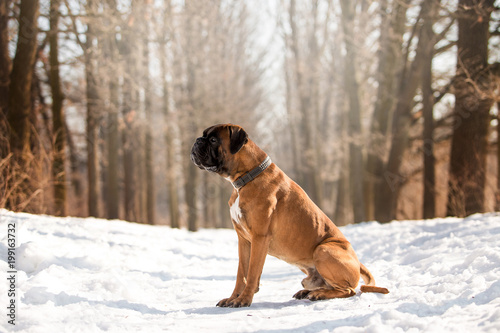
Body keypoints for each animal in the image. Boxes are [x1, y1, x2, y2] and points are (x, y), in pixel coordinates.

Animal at [189, 124, 388, 306]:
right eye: (204, 136)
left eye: (213, 140)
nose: (197, 140)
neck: (247, 177)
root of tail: (358, 261)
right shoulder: (243, 240)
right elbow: (241, 273)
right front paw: (233, 298)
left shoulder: (259, 237)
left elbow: (252, 273)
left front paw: (243, 299)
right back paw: (308, 291)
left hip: (323, 249)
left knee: (349, 290)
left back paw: (319, 294)